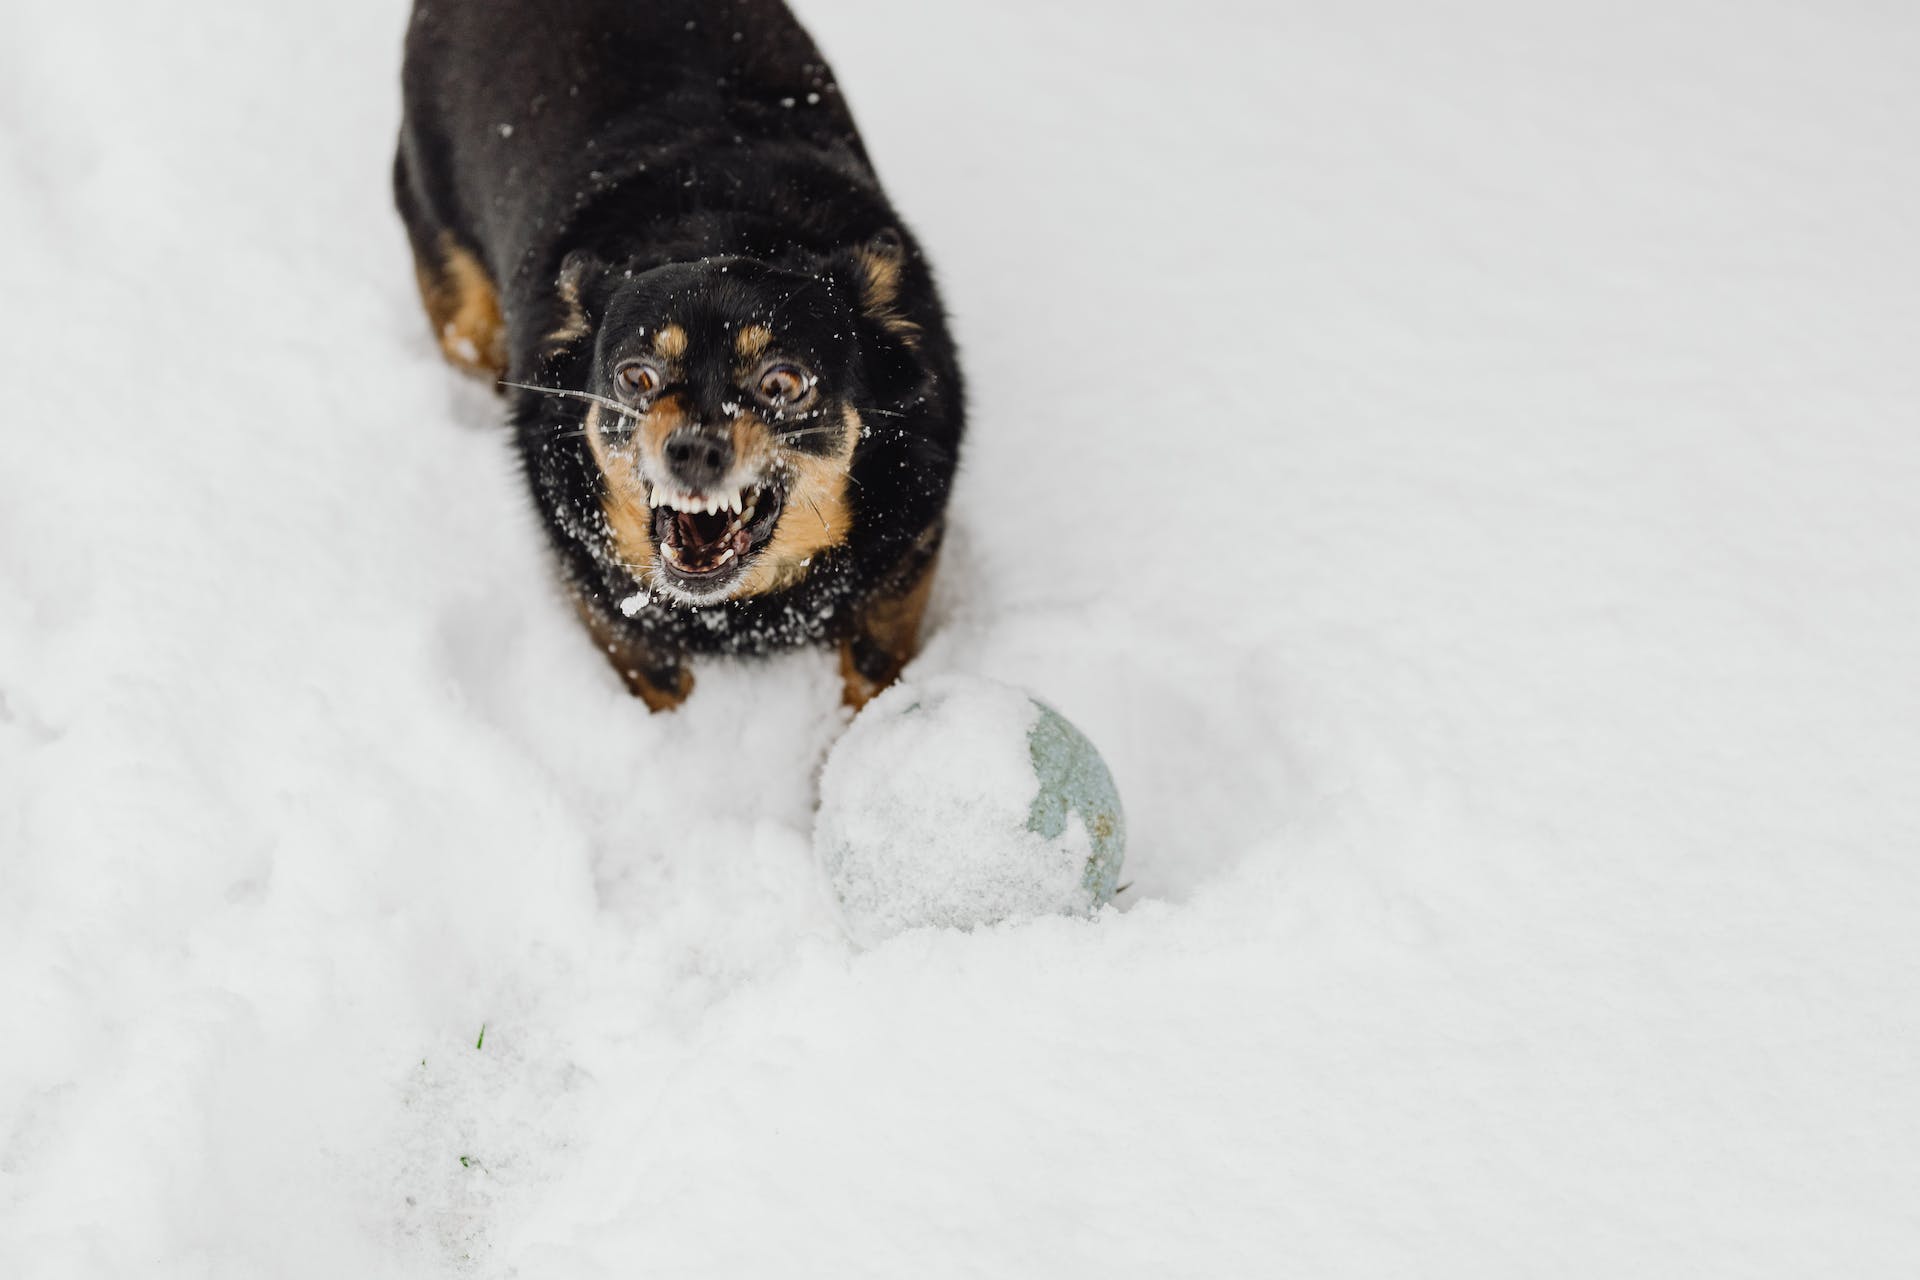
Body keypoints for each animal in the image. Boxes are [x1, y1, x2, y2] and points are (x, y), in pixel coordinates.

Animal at [393, 0, 960, 710]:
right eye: (636, 377)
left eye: (784, 383)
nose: (692, 450)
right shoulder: (607, 605)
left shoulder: (906, 564)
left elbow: (874, 674)